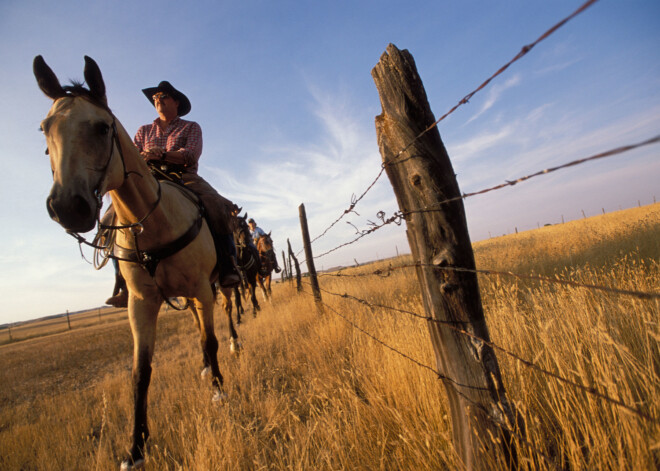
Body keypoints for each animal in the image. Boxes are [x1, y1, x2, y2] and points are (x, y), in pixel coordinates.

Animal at [33, 56, 236, 471]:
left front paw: (219, 392)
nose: (67, 207)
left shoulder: (200, 289)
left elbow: (209, 340)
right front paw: (135, 449)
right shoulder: (141, 303)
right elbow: (140, 372)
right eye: (45, 129)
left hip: (216, 287)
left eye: (102, 126)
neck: (156, 221)